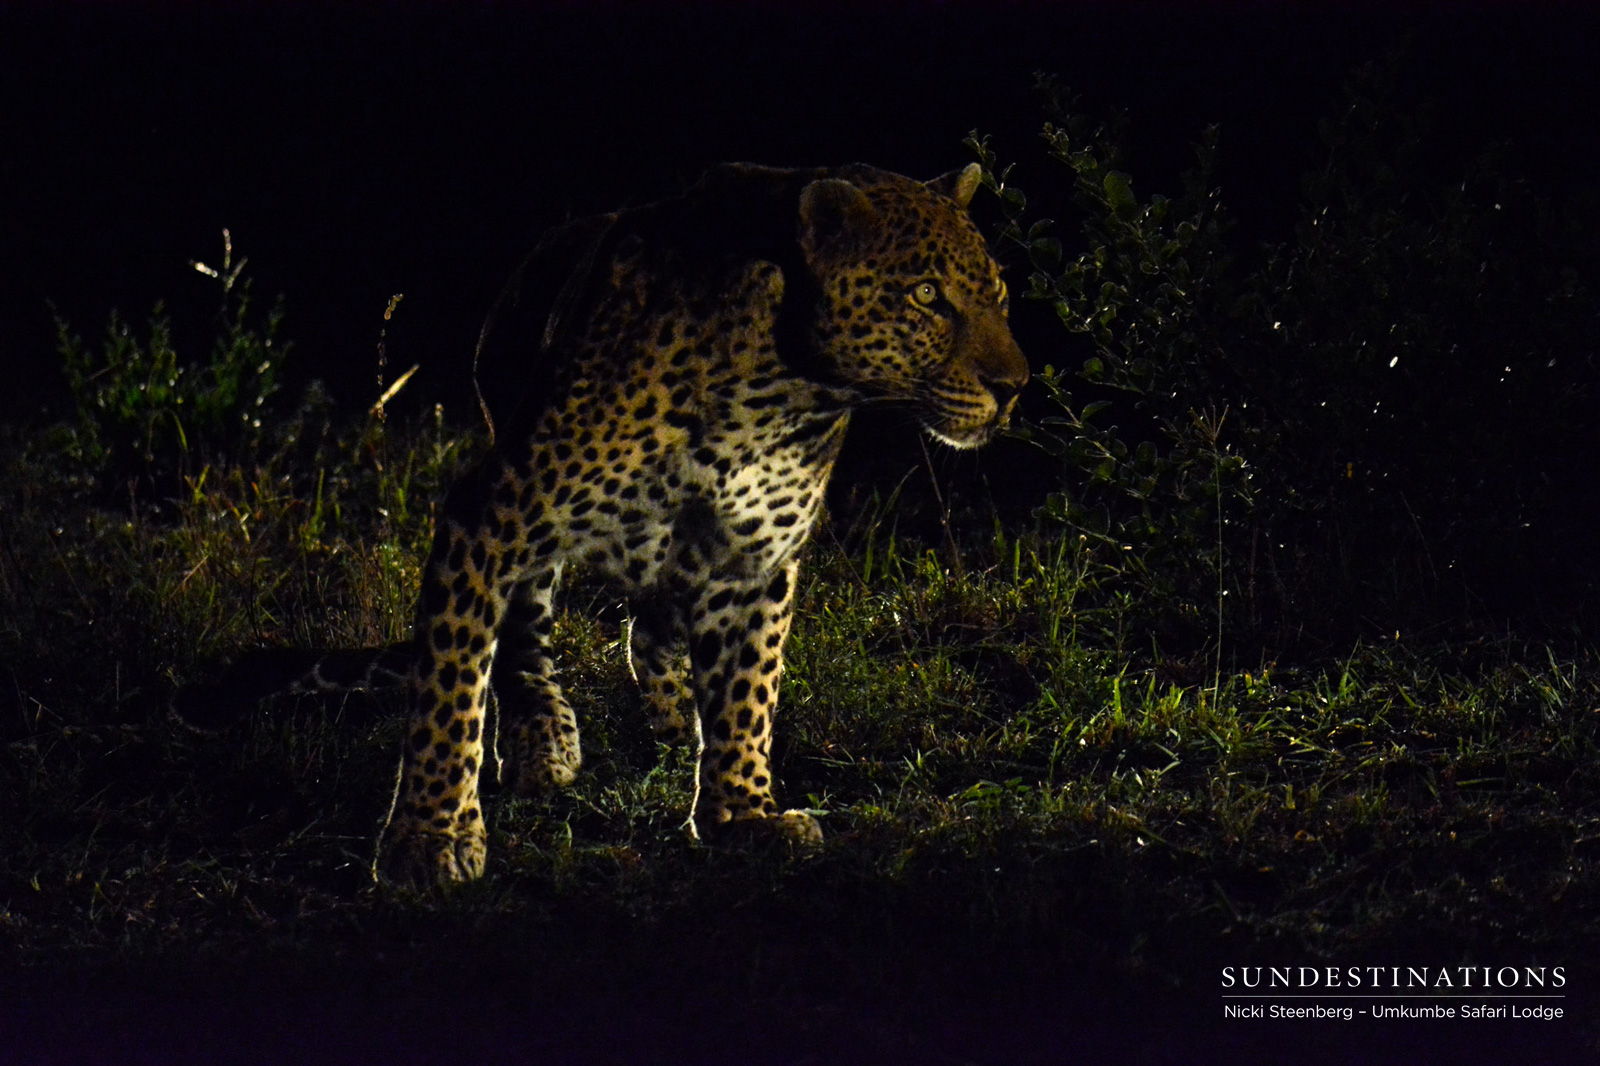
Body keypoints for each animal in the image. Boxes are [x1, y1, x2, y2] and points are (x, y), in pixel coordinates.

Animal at [178, 162, 1027, 888]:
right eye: (925, 296)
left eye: (998, 294)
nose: (1015, 385)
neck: (780, 389)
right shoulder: (488, 514)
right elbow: (450, 687)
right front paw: (431, 836)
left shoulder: (754, 559)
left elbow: (748, 691)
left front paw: (740, 813)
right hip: (527, 511)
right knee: (523, 637)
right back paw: (542, 739)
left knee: (647, 630)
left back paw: (671, 721)